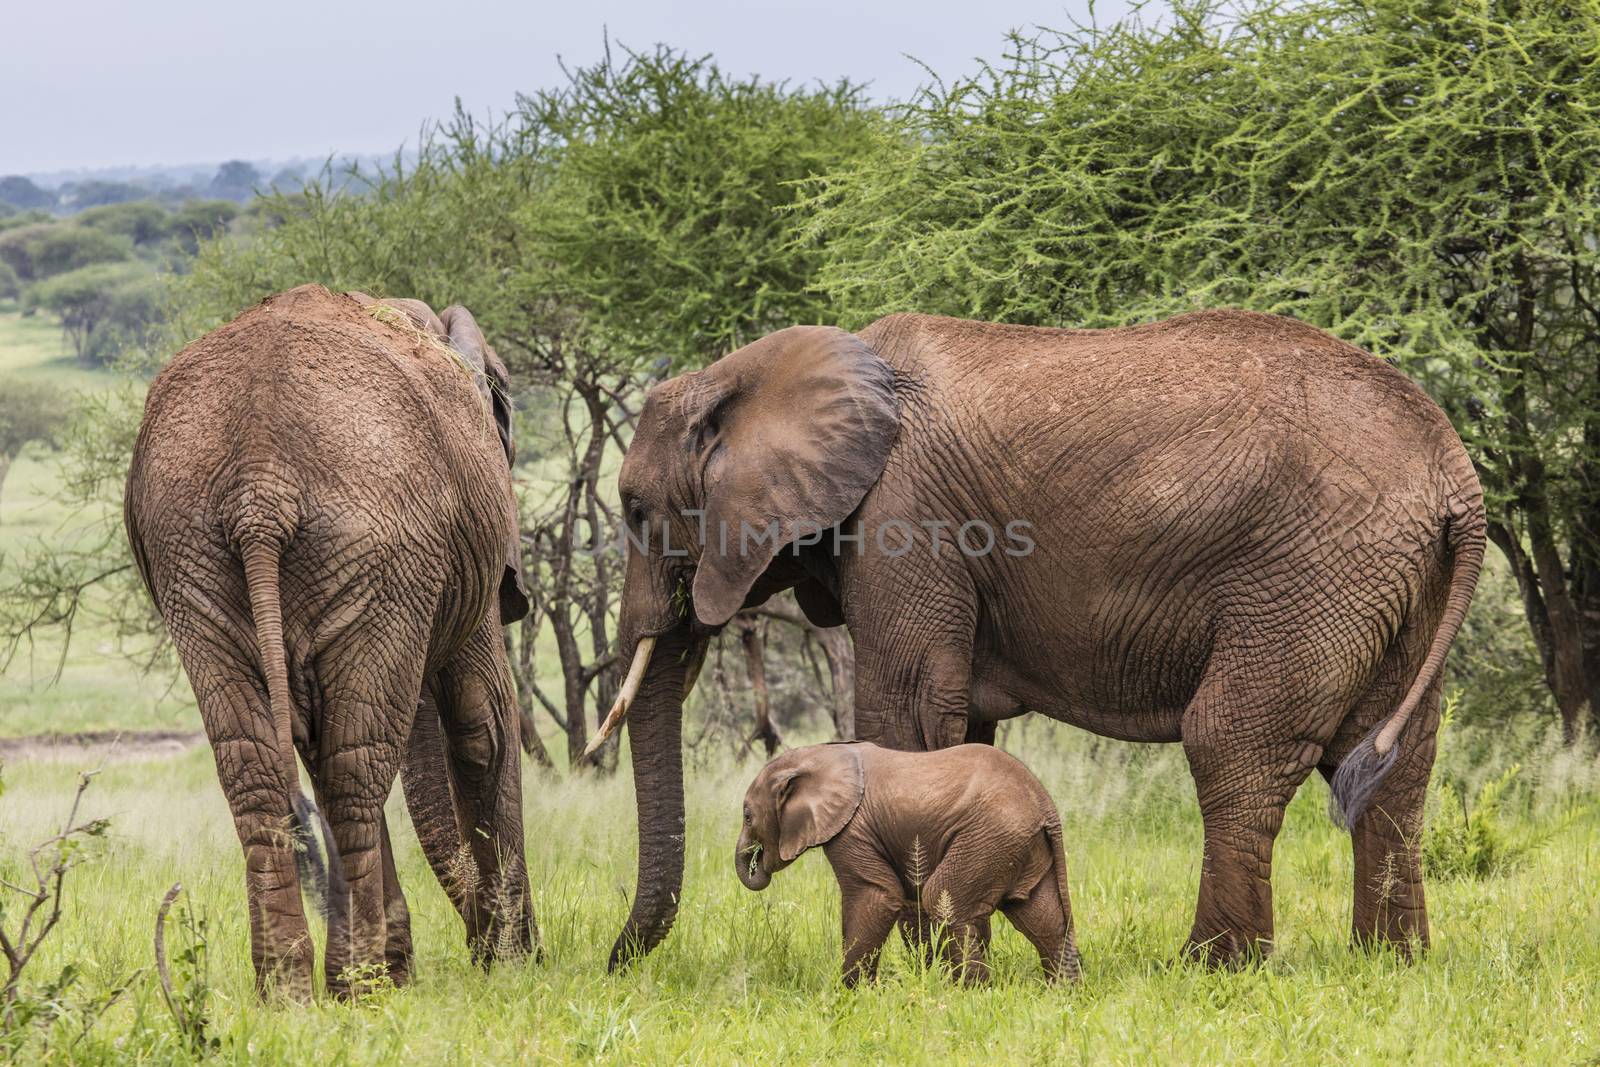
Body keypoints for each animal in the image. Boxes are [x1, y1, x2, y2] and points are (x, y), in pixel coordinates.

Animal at [124, 286, 534, 1004]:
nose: (479, 944)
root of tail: (258, 487)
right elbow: (482, 721)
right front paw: (514, 964)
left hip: (191, 549)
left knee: (263, 767)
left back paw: (290, 991)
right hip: (375, 547)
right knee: (355, 763)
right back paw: (358, 985)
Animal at [732, 742, 1081, 985]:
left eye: (748, 816)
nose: (757, 862)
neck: (820, 754)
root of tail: (1045, 805)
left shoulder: (852, 829)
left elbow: (876, 897)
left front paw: (849, 996)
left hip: (992, 835)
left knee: (944, 899)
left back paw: (973, 995)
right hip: (1018, 843)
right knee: (1044, 918)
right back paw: (1063, 994)